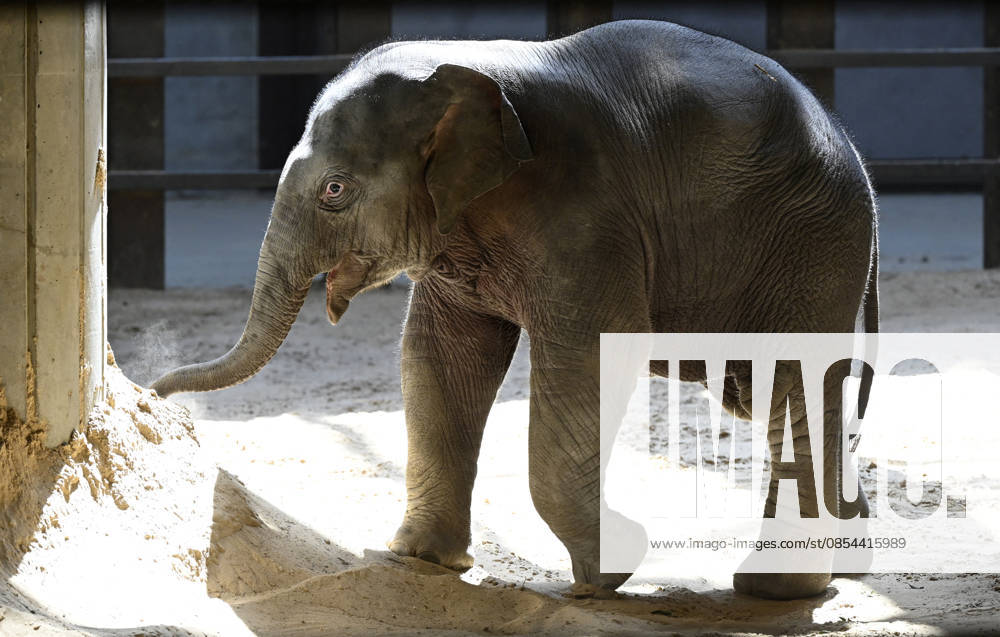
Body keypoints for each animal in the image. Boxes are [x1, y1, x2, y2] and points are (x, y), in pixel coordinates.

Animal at [151, 20, 879, 600]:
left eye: (334, 190)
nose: (156, 390)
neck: (469, 68)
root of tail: (851, 145)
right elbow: (441, 355)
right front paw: (421, 559)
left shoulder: (586, 217)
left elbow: (598, 348)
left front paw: (610, 573)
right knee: (774, 393)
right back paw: (847, 565)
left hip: (808, 242)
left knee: (788, 381)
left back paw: (776, 589)